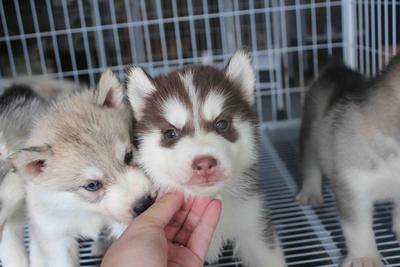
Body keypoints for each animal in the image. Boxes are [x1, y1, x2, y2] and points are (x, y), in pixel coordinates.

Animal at [294, 59, 400, 267]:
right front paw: (364, 258)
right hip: (309, 135)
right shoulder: (354, 187)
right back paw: (311, 193)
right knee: (311, 167)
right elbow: (359, 229)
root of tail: (336, 70)